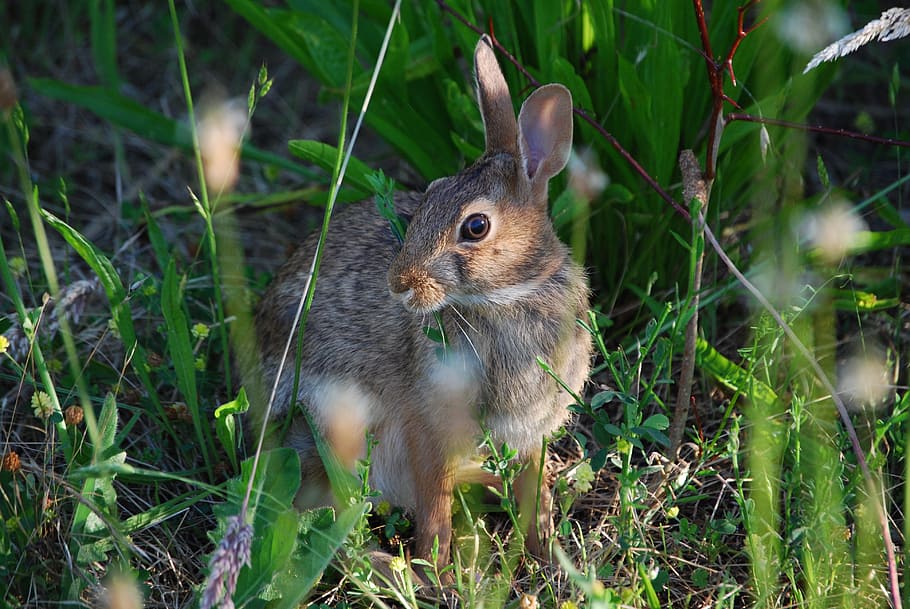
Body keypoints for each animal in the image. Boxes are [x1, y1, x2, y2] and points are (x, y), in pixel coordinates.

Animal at [251, 35, 592, 569]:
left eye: (476, 226)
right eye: (429, 195)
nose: (399, 283)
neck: (507, 297)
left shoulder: (532, 428)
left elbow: (530, 485)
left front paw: (546, 548)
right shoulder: (427, 422)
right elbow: (434, 500)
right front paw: (437, 566)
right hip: (336, 423)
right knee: (324, 513)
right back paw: (387, 566)